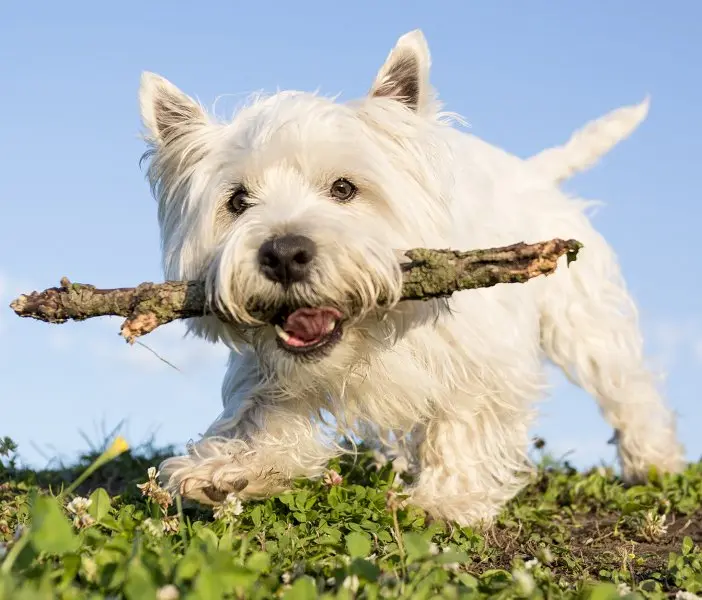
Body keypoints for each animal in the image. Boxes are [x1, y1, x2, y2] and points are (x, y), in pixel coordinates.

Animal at [139, 30, 688, 524]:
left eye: (344, 188)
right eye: (237, 201)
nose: (285, 254)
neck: (370, 335)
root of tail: (533, 172)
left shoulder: (483, 359)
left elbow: (464, 420)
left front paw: (445, 501)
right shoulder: (271, 368)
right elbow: (260, 409)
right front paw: (230, 469)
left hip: (584, 320)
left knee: (627, 387)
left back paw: (653, 462)